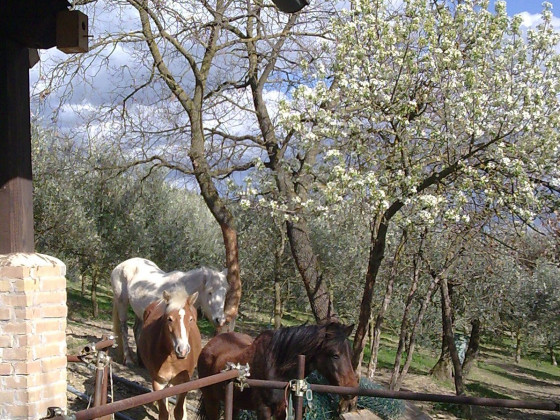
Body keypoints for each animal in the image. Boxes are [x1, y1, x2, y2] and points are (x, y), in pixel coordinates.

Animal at [139, 288, 202, 420]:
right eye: (169, 319)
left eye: (191, 319)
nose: (182, 350)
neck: (172, 357)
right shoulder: (159, 383)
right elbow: (164, 413)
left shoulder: (183, 383)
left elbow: (179, 412)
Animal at [197, 320, 356, 418]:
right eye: (335, 355)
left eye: (350, 353)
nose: (352, 388)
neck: (277, 368)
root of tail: (209, 344)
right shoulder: (264, 410)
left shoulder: (283, 410)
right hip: (211, 400)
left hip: (234, 403)